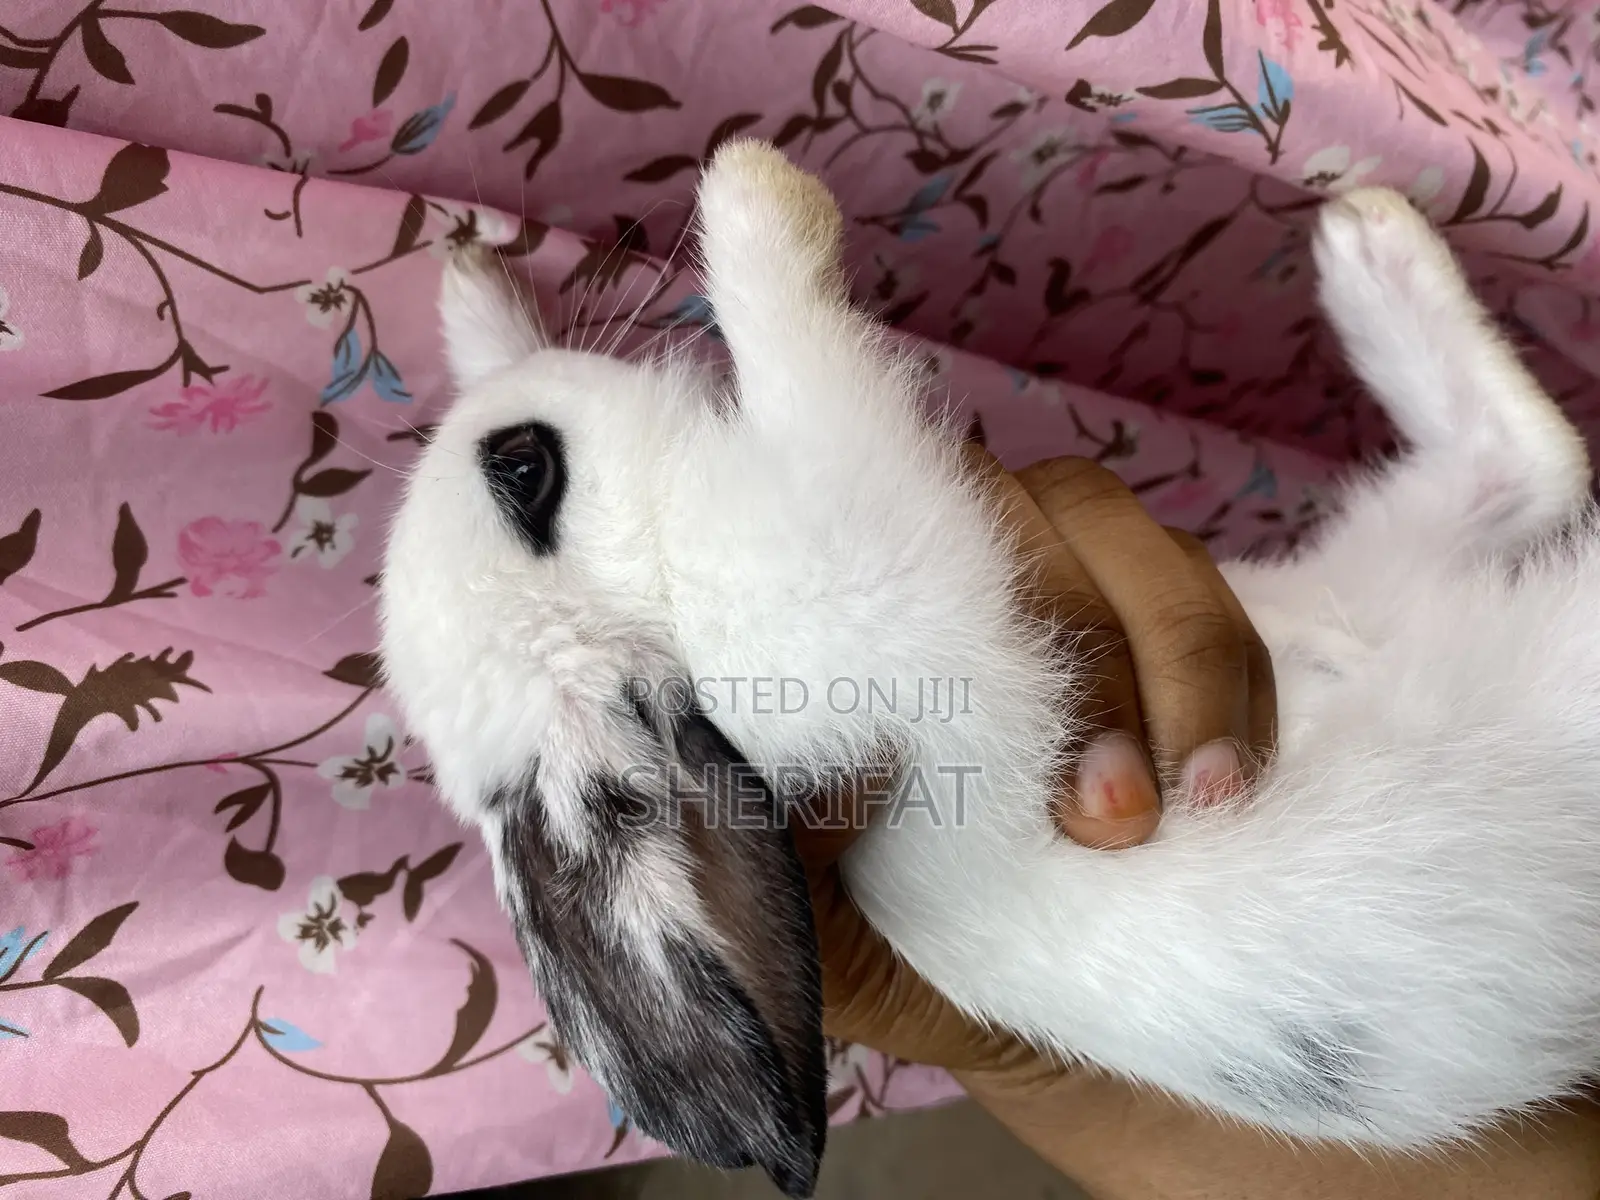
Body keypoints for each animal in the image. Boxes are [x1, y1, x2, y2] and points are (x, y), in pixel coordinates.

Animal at [378, 138, 1600, 1198]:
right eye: (526, 468)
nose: (525, 378)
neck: (661, 583)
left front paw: (478, 289)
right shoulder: (859, 545)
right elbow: (801, 354)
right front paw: (756, 187)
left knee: (1529, 458)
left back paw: (1367, 238)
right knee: (1533, 465)